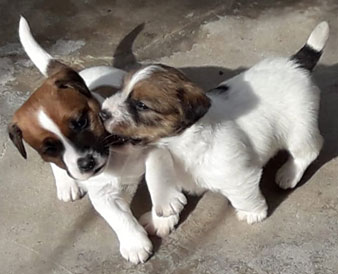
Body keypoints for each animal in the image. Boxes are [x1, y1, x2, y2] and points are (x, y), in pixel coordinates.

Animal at [7, 16, 186, 264]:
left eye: (81, 122)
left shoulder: (154, 143)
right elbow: (116, 216)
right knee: (58, 169)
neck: (114, 151)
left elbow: (156, 171)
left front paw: (164, 211)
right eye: (50, 148)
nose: (86, 164)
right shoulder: (101, 192)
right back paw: (67, 184)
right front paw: (134, 243)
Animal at [101, 22, 328, 227]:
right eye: (121, 90)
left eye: (141, 105)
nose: (103, 113)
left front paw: (253, 213)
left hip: (299, 128)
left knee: (309, 150)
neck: (178, 144)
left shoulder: (238, 175)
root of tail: (296, 64)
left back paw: (289, 174)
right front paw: (161, 221)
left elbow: (242, 195)